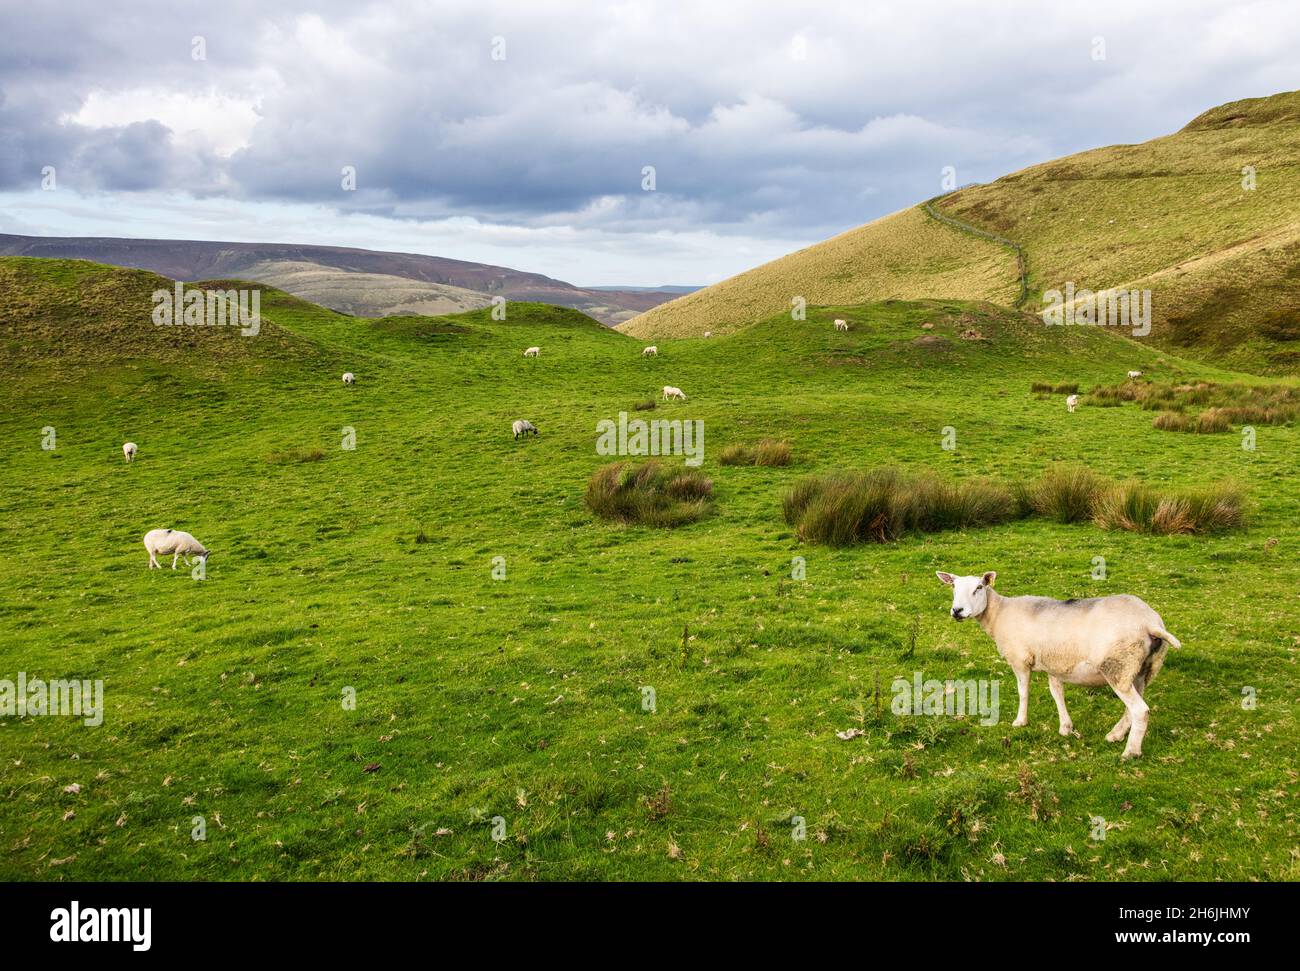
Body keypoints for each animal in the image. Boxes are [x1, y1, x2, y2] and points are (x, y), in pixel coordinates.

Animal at [935, 569, 1180, 759]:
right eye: (953, 587)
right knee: (1133, 707)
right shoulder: (1053, 664)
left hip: (1117, 667)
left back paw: (1131, 751)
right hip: (1143, 668)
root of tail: (1149, 623)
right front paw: (1065, 727)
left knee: (1140, 710)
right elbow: (1056, 693)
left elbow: (1023, 692)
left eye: (979, 587)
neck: (998, 614)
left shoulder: (1020, 659)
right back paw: (1115, 735)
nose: (957, 611)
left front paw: (1020, 721)